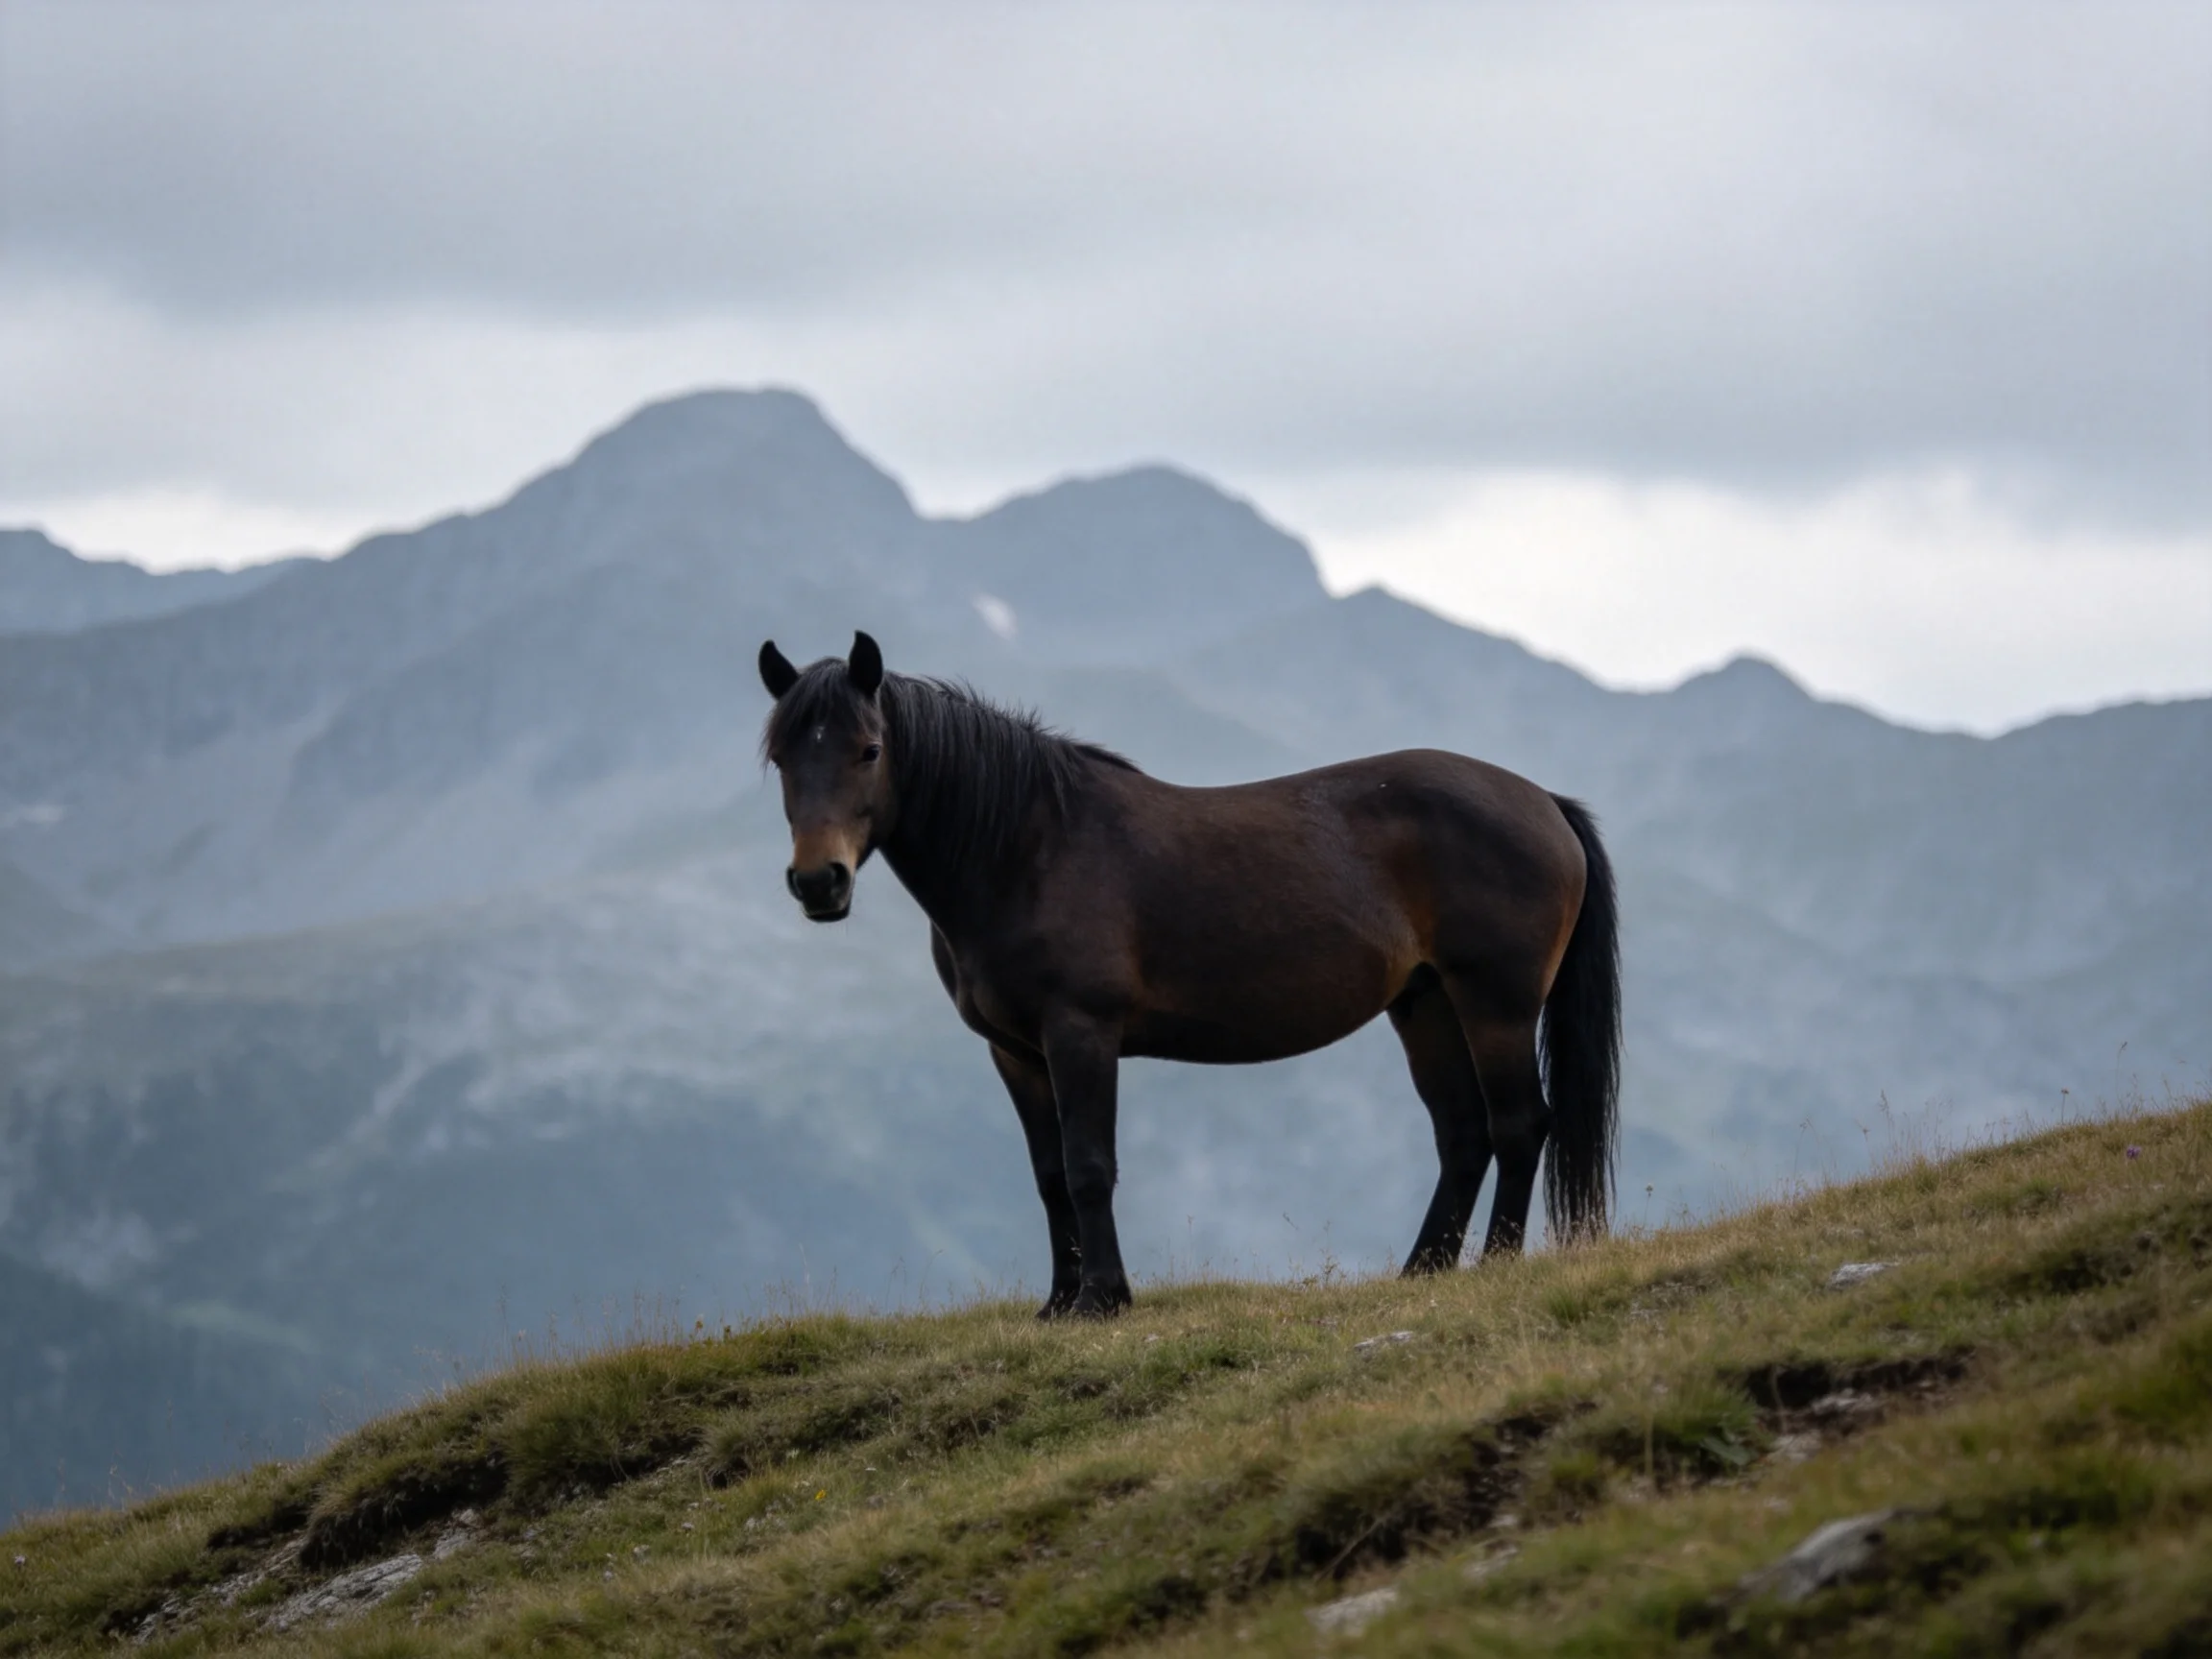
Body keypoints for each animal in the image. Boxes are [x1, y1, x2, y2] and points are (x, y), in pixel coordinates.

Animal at [757, 631, 1621, 1318]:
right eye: (782, 757)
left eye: (869, 749)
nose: (819, 882)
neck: (1028, 849)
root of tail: (1543, 800)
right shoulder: (1016, 1053)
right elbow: (1049, 1174)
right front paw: (1058, 1302)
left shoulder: (1080, 1035)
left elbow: (1089, 1166)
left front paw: (1102, 1299)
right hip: (1426, 1004)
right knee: (1463, 1133)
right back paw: (1423, 1271)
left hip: (1496, 1003)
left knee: (1519, 1124)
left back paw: (1497, 1262)